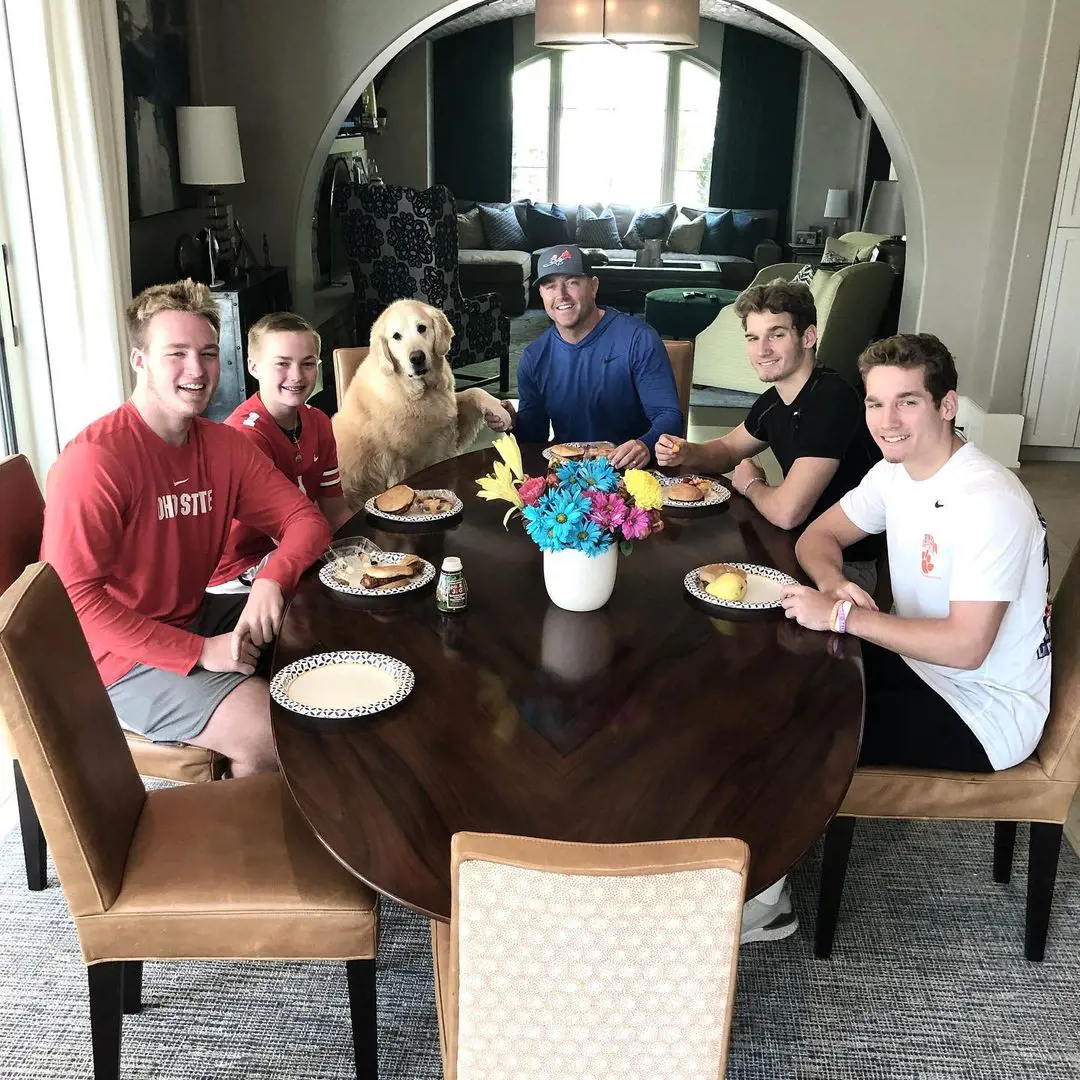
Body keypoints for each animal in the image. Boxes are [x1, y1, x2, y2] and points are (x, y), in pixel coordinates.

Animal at [332, 300, 509, 509]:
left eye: (421, 328)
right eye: (396, 336)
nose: (417, 357)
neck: (418, 391)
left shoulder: (448, 429)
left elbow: (474, 391)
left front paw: (499, 411)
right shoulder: (404, 464)